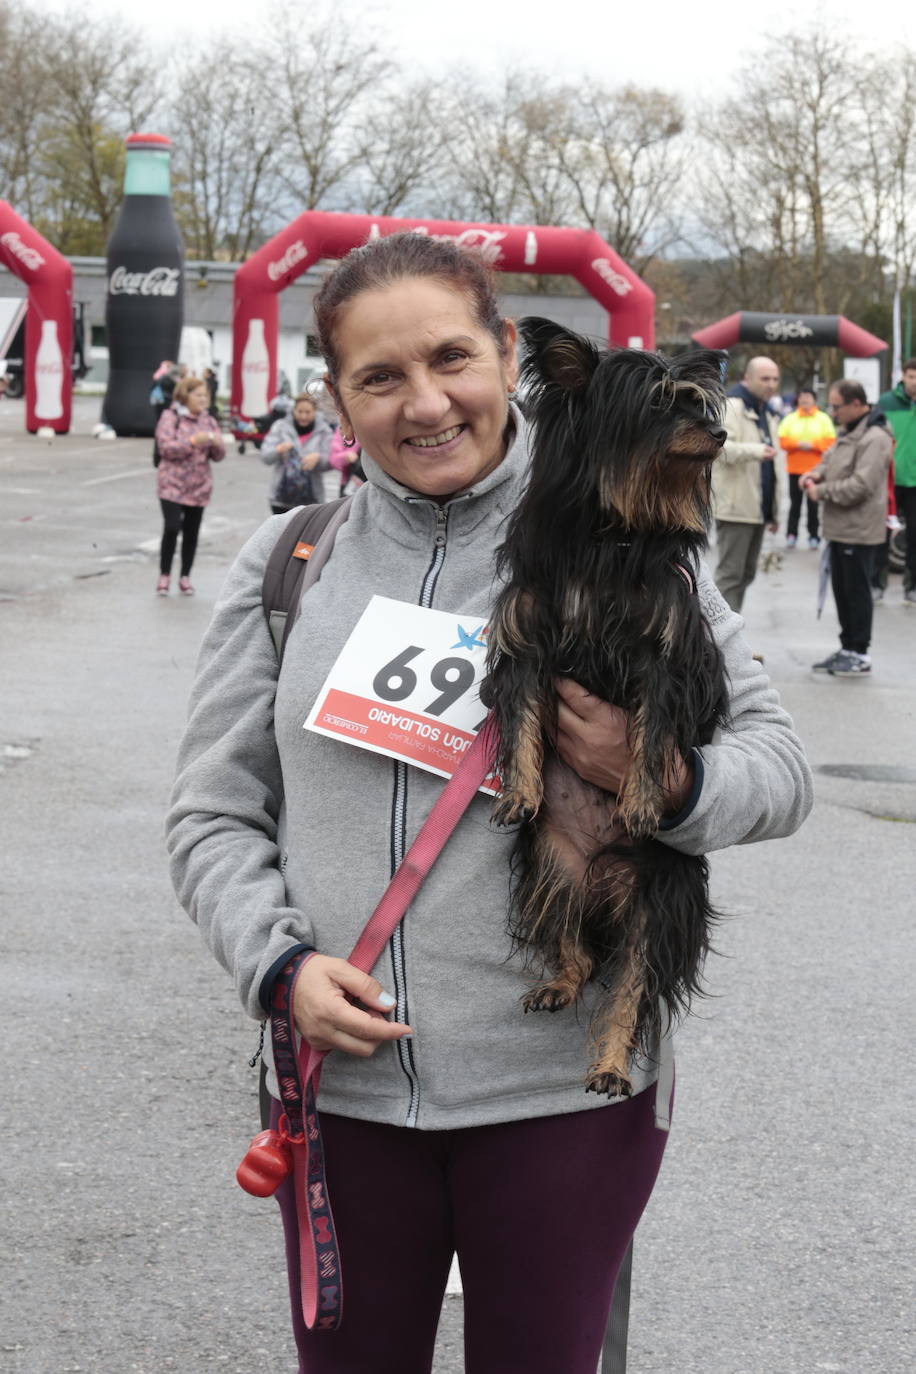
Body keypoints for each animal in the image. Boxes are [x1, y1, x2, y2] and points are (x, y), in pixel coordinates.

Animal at [480, 318, 730, 1093]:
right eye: (658, 404)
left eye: (702, 402)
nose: (720, 433)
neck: (608, 534)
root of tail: (604, 881)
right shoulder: (528, 646)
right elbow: (524, 720)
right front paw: (521, 788)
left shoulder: (663, 661)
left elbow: (650, 735)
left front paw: (646, 797)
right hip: (550, 869)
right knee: (581, 952)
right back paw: (560, 982)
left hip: (661, 902)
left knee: (629, 987)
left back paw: (613, 1064)